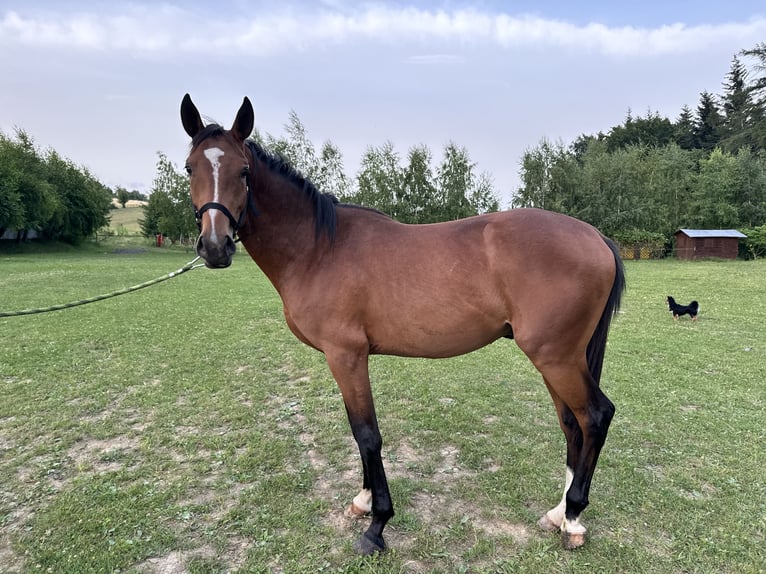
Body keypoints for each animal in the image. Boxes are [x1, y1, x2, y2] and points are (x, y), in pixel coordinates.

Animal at [183, 95, 628, 560]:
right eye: (190, 168)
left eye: (243, 171)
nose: (214, 247)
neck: (319, 248)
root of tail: (595, 237)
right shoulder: (346, 359)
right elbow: (358, 431)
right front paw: (362, 502)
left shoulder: (346, 355)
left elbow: (367, 435)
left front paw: (376, 525)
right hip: (558, 358)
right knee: (572, 425)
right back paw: (560, 515)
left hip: (556, 356)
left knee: (595, 417)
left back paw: (574, 516)